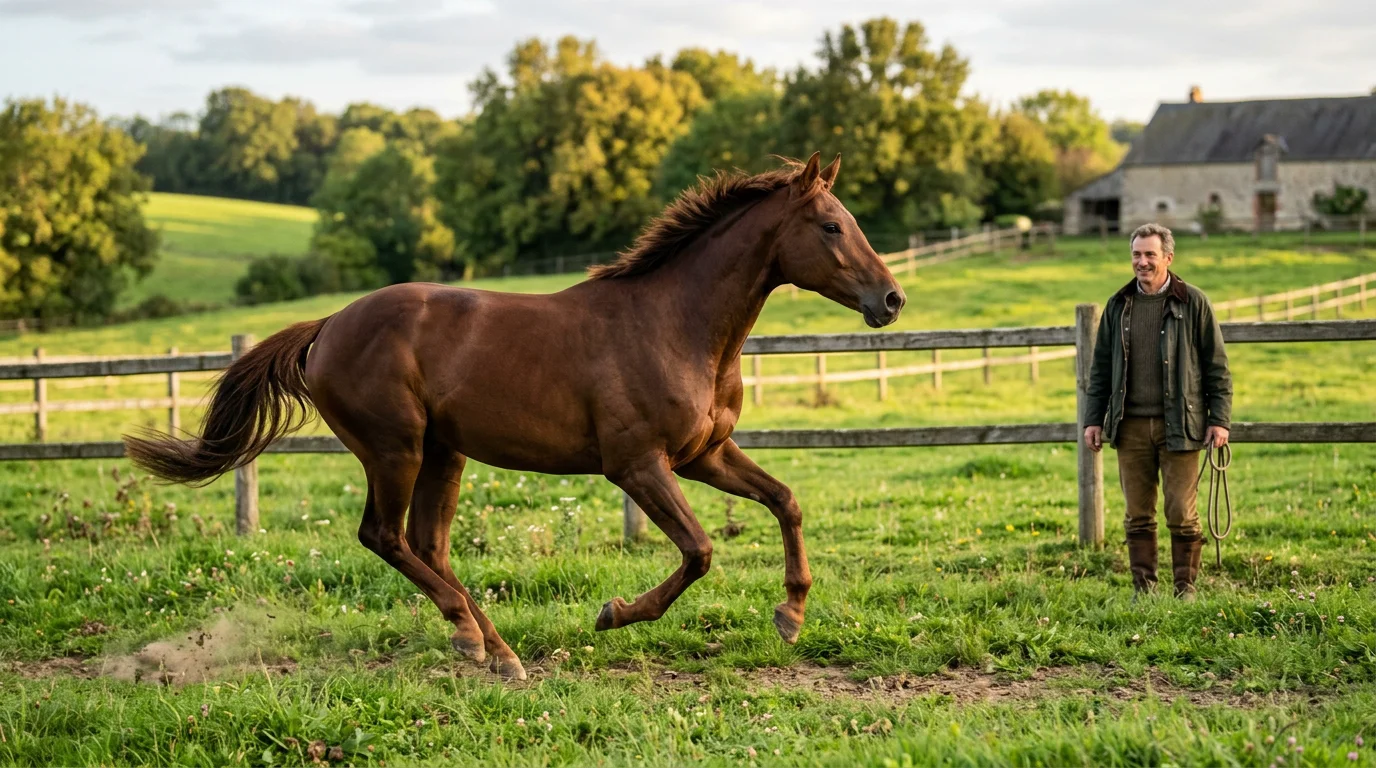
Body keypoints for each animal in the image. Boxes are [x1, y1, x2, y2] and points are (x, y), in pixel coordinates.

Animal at [124, 152, 906, 680]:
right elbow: (699, 552)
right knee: (384, 536)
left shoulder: (704, 454)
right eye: (831, 227)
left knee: (427, 544)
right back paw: (486, 646)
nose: (891, 300)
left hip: (445, 454)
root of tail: (328, 326)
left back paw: (486, 645)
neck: (676, 325)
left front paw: (791, 617)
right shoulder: (638, 466)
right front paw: (613, 613)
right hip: (395, 449)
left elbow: (786, 500)